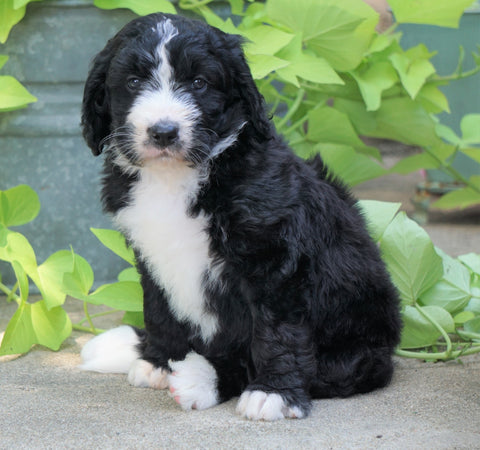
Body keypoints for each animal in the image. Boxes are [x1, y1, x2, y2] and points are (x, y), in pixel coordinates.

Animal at [79, 14, 402, 422]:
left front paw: (273, 392)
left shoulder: (273, 259)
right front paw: (160, 361)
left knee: (315, 368)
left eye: (199, 83)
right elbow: (159, 311)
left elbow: (276, 330)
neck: (176, 178)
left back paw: (202, 379)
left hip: (360, 350)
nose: (164, 132)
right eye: (134, 82)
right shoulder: (151, 255)